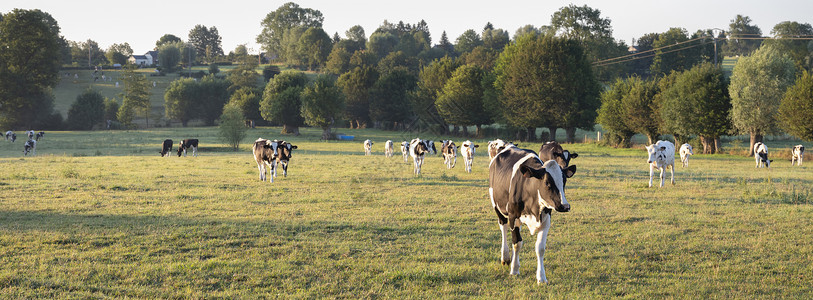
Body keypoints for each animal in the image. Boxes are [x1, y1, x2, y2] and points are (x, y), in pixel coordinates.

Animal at [486, 145, 576, 284]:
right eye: (547, 183)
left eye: (564, 181)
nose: (565, 206)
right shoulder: (513, 217)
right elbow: (517, 243)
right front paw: (514, 270)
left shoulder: (546, 220)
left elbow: (540, 248)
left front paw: (541, 277)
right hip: (496, 205)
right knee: (503, 227)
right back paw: (505, 257)